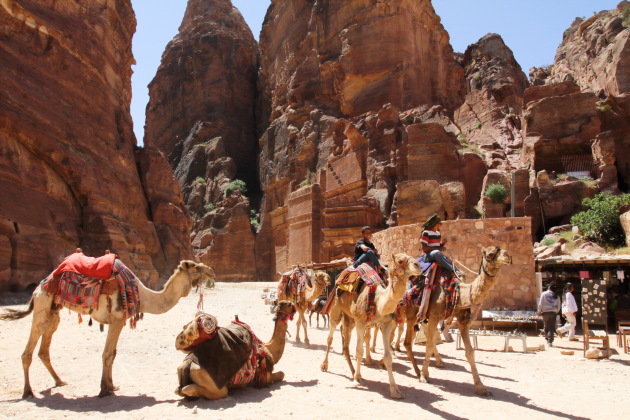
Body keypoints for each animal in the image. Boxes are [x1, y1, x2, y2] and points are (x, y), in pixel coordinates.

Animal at [0, 258, 215, 398]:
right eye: (196, 266)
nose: (211, 271)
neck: (144, 297)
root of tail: (39, 286)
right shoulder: (117, 319)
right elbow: (108, 354)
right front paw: (104, 389)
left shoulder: (117, 322)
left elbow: (113, 354)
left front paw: (112, 386)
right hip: (43, 304)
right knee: (29, 349)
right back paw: (28, 391)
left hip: (54, 310)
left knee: (44, 349)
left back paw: (59, 382)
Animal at [320, 254, 424, 398]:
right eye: (400, 261)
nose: (418, 266)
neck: (378, 300)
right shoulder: (361, 322)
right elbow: (359, 351)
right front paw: (357, 379)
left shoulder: (386, 323)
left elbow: (388, 356)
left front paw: (395, 390)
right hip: (336, 309)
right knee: (330, 337)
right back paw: (325, 366)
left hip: (349, 318)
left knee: (346, 340)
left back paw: (352, 370)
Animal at [404, 244, 512, 396]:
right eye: (490, 254)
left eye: (501, 249)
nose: (507, 255)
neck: (459, 293)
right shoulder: (435, 315)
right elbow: (429, 345)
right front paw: (424, 376)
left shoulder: (462, 320)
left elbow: (470, 352)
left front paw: (481, 387)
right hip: (411, 311)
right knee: (408, 342)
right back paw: (417, 371)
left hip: (422, 314)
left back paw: (438, 363)